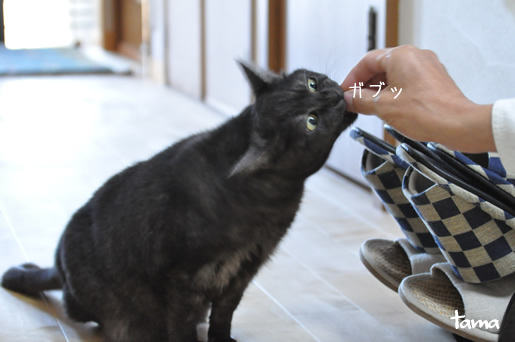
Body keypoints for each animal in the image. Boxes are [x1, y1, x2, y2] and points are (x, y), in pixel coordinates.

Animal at [2, 62, 358, 340]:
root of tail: (60, 270)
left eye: (313, 83)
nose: (334, 95)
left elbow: (224, 314)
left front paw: (222, 340)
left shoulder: (244, 269)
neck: (271, 200)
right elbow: (183, 324)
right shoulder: (184, 279)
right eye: (311, 121)